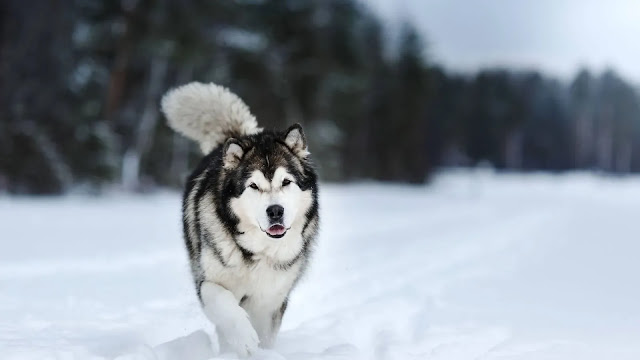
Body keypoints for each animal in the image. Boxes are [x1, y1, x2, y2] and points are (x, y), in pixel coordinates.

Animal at [160, 83, 320, 356]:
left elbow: (266, 333)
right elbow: (224, 305)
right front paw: (244, 339)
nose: (275, 211)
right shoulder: (208, 282)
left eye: (286, 182)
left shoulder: (270, 299)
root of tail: (239, 135)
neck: (256, 252)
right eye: (253, 186)